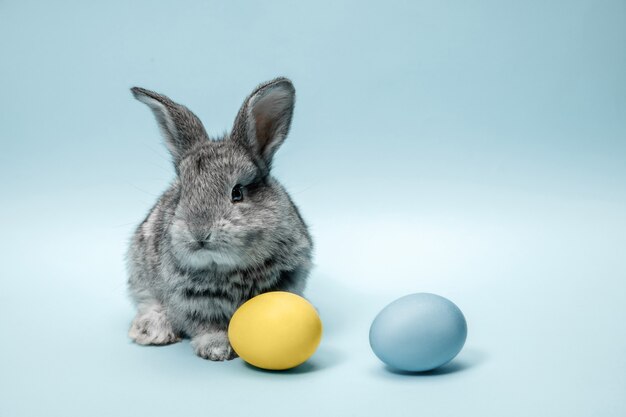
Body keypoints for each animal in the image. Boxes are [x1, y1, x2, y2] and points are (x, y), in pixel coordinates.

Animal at [125, 79, 312, 360]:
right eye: (183, 192)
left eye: (237, 192)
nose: (199, 233)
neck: (226, 267)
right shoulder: (191, 303)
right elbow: (207, 325)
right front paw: (216, 349)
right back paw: (151, 330)